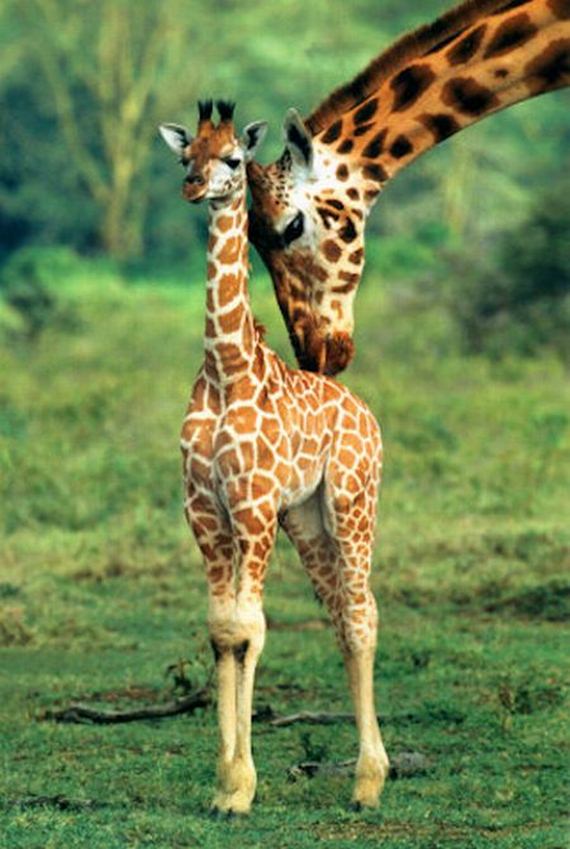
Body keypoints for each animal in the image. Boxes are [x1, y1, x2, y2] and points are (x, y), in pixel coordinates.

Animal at [159, 100, 388, 814]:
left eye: (233, 158)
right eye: (186, 156)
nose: (193, 187)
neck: (225, 368)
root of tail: (367, 415)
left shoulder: (253, 504)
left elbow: (250, 627)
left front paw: (241, 786)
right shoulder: (204, 508)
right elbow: (221, 630)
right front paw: (224, 782)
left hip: (352, 500)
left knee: (363, 612)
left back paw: (369, 783)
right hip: (307, 517)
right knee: (340, 611)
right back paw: (368, 772)